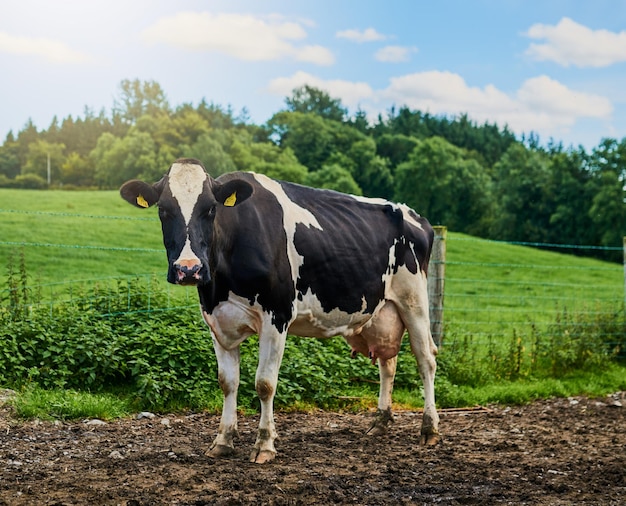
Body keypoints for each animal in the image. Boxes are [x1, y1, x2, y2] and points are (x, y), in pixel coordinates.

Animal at [119, 157, 436, 462]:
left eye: (210, 209)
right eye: (163, 210)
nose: (188, 269)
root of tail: (416, 216)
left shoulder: (277, 315)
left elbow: (265, 383)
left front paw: (264, 444)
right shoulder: (216, 320)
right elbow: (227, 382)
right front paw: (223, 441)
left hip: (414, 300)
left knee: (426, 359)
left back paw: (429, 429)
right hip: (381, 313)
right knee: (388, 363)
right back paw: (380, 422)